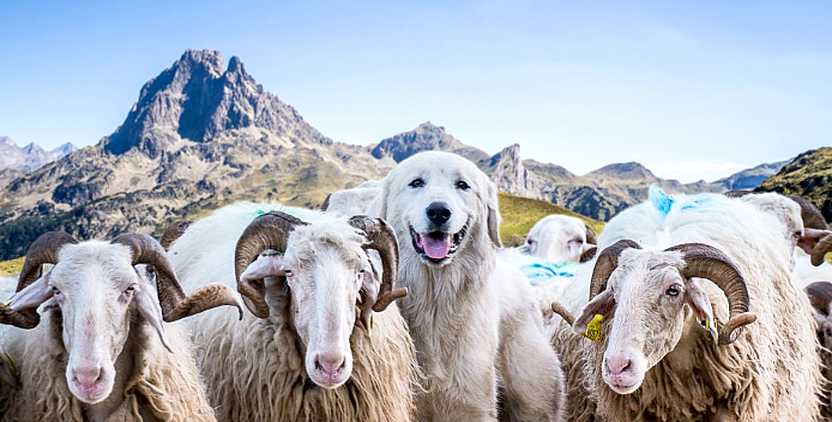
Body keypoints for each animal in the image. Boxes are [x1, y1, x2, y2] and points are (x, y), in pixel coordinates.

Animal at [370, 152, 564, 422]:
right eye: (416, 183)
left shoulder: (472, 405)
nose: (439, 211)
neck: (435, 301)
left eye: (462, 185)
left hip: (532, 395)